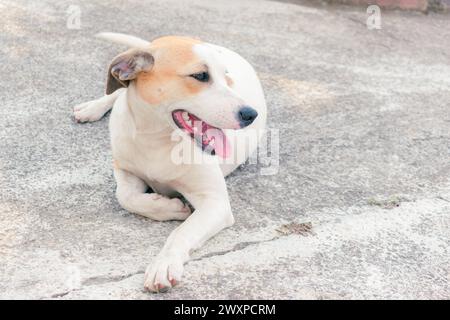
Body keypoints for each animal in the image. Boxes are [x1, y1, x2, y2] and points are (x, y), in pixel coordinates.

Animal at [72, 33, 266, 292]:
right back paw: (92, 107)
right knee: (118, 92)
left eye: (226, 77)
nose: (250, 114)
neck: (157, 137)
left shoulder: (215, 203)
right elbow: (125, 196)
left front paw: (164, 263)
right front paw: (168, 207)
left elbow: (181, 233)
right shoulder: (123, 169)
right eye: (200, 75)